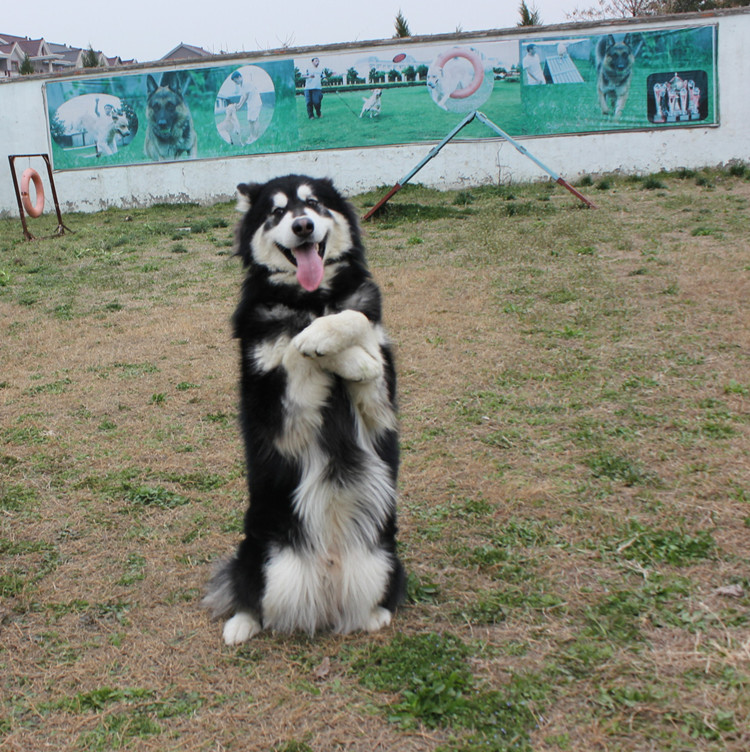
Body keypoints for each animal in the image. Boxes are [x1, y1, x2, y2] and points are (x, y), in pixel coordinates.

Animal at [203, 173, 408, 644]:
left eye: (313, 204)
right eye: (277, 211)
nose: (302, 226)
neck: (311, 299)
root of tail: (326, 582)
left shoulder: (380, 405)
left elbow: (356, 322)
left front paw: (347, 353)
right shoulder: (281, 409)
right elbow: (294, 347)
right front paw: (319, 344)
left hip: (384, 557)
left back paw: (375, 616)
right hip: (262, 555)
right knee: (253, 599)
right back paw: (240, 624)